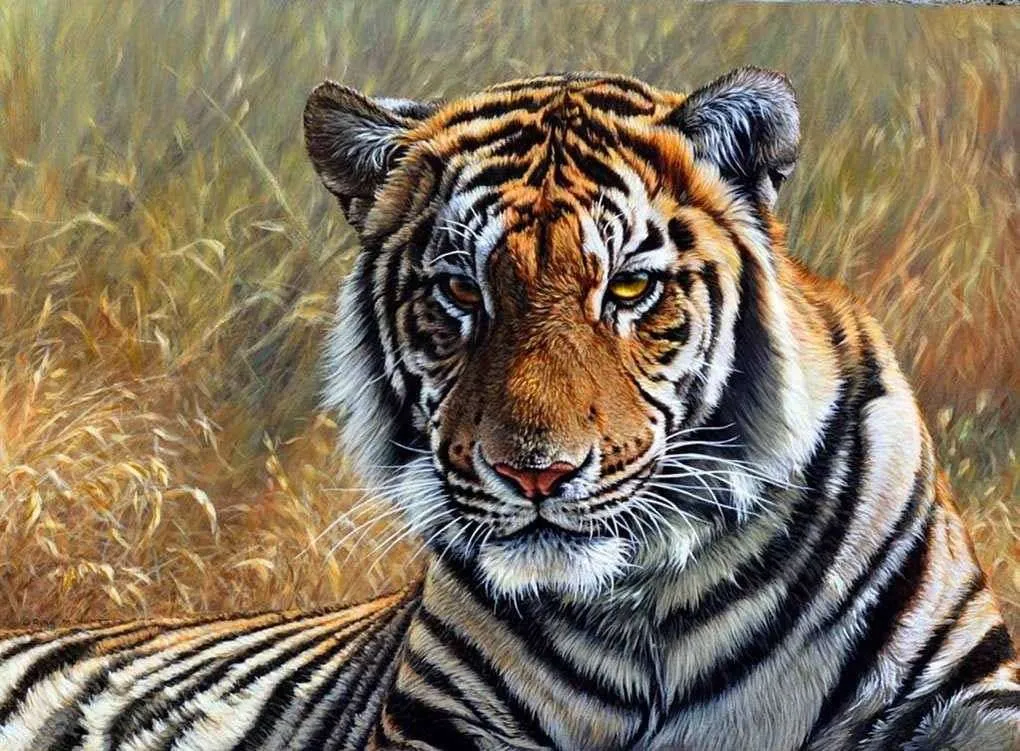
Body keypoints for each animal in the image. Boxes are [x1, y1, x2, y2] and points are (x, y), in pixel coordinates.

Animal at [1, 67, 1017, 750]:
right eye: (460, 292)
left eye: (630, 289)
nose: (536, 472)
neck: (651, 612)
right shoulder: (440, 720)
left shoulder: (962, 696)